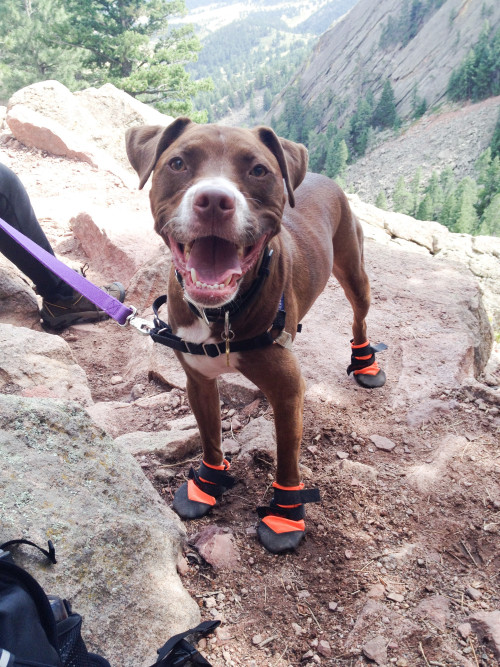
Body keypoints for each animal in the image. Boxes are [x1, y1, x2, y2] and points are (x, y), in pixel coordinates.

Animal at [126, 118, 386, 552]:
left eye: (259, 170)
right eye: (177, 162)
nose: (214, 200)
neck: (224, 313)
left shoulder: (287, 390)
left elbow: (288, 460)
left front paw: (284, 517)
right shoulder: (198, 381)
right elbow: (211, 436)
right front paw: (206, 484)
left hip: (354, 272)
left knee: (359, 318)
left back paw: (366, 363)